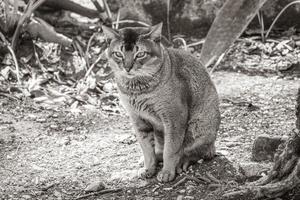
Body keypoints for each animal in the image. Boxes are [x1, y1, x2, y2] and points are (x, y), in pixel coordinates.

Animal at [101, 23, 220, 183]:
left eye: (140, 54)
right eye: (118, 54)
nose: (127, 67)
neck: (138, 90)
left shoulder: (174, 117)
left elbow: (170, 149)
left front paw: (167, 172)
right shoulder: (138, 119)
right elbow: (146, 149)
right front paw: (148, 168)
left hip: (199, 126)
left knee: (201, 151)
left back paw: (183, 162)